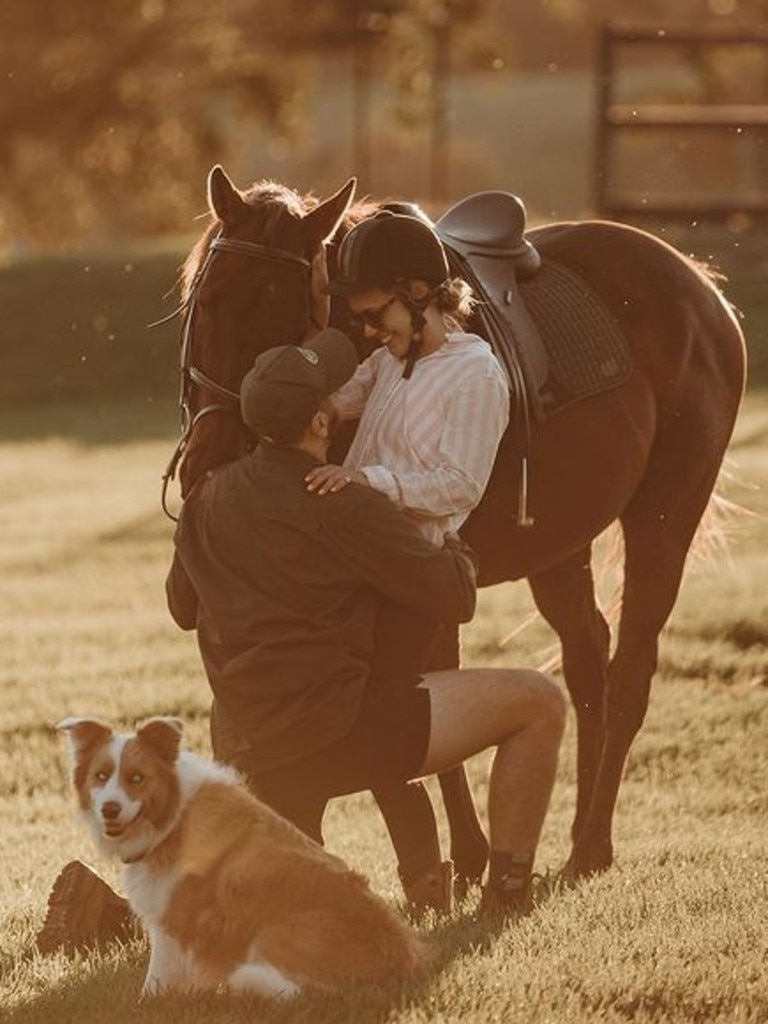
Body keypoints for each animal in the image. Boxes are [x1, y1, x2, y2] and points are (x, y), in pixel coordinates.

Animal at [58, 716, 434, 995]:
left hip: (274, 934)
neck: (173, 818)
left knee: (292, 991)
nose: (109, 809)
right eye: (101, 776)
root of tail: (405, 961)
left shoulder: (174, 920)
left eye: (136, 778)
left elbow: (156, 980)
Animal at [166, 167, 745, 880]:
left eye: (291, 318)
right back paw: (577, 836)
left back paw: (590, 845)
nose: (210, 460)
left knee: (630, 671)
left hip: (664, 519)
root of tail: (698, 284)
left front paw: (458, 856)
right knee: (588, 664)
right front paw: (466, 856)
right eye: (206, 302)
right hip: (560, 546)